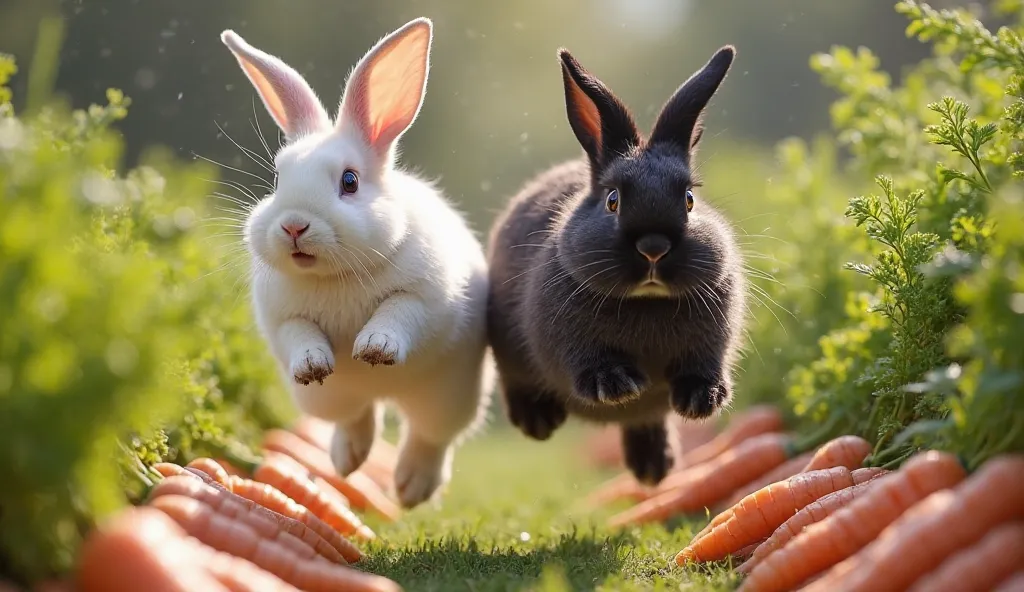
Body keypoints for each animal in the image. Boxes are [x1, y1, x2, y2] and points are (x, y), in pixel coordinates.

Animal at [222, 18, 493, 508]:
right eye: (277, 179)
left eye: (350, 181)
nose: (293, 225)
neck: (335, 276)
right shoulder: (285, 318)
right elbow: (301, 336)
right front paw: (313, 365)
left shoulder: (424, 298)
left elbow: (397, 315)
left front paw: (374, 348)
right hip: (331, 400)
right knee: (357, 418)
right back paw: (346, 461)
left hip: (449, 395)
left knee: (430, 437)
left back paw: (410, 487)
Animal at [487, 43, 745, 481]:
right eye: (613, 200)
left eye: (689, 200)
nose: (654, 247)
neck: (647, 303)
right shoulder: (573, 346)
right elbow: (593, 363)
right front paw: (619, 386)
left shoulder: (711, 346)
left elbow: (701, 368)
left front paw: (702, 401)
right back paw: (539, 423)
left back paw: (655, 469)